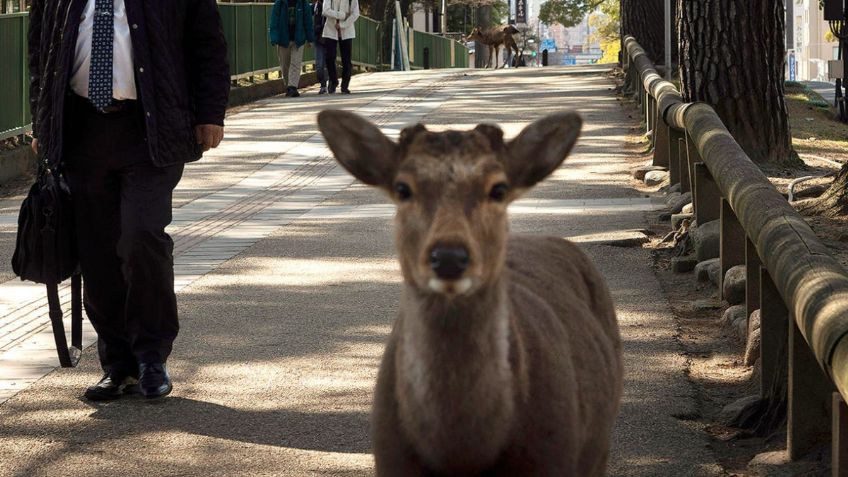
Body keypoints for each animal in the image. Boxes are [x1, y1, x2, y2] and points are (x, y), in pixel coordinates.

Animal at [318, 109, 624, 474]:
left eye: (499, 188)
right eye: (403, 188)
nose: (449, 257)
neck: (461, 455)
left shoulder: (555, 457)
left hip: (601, 445)